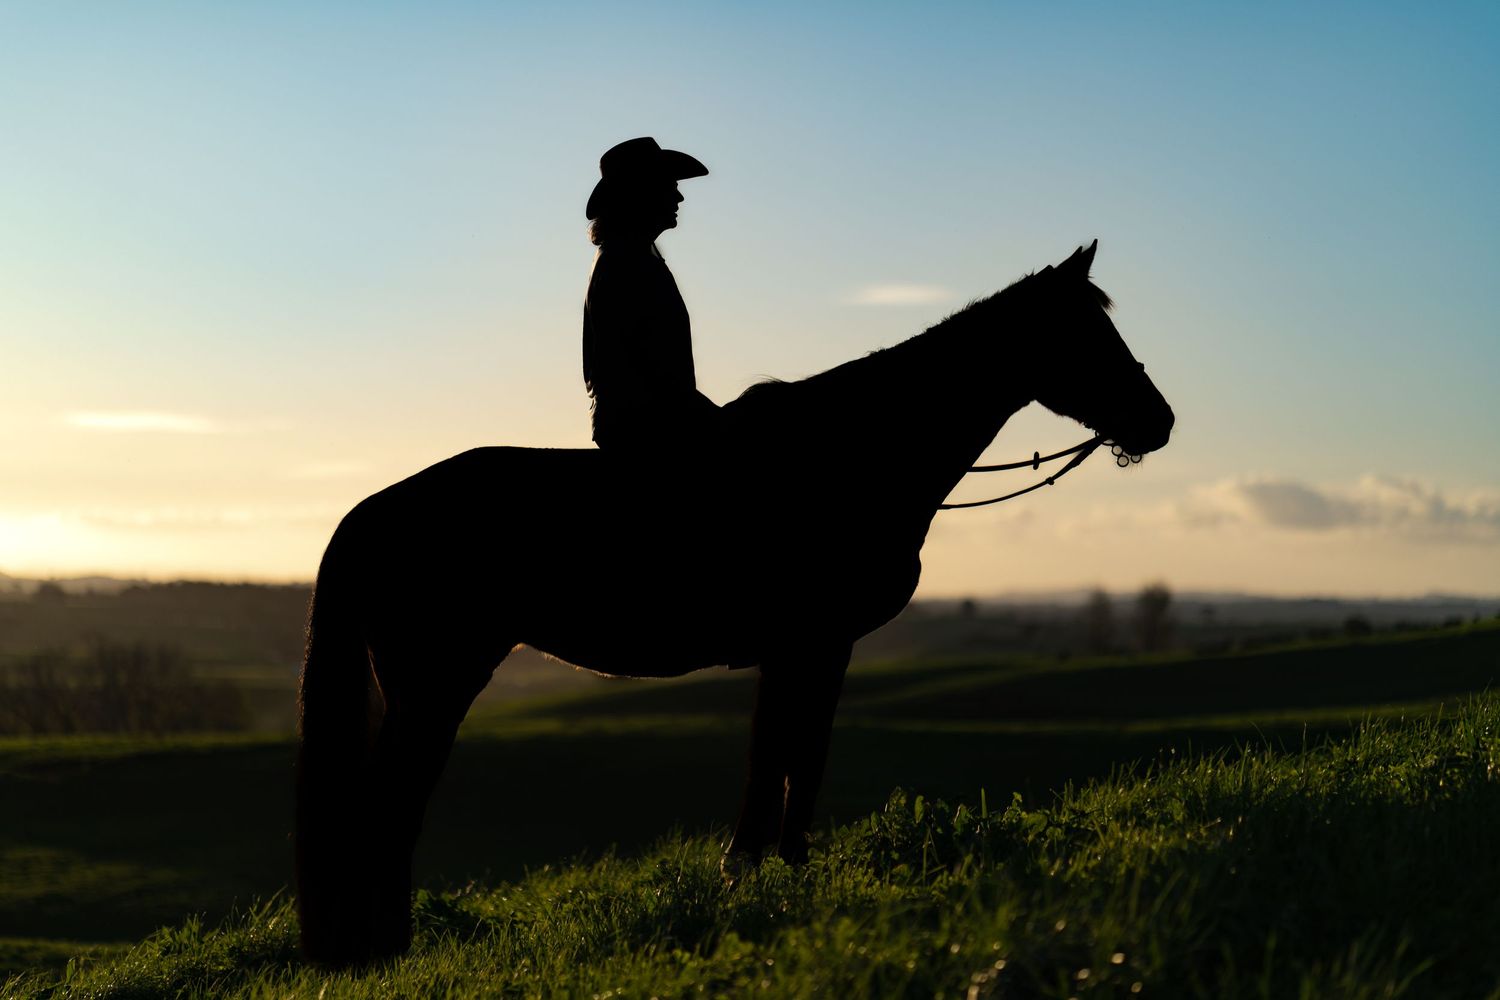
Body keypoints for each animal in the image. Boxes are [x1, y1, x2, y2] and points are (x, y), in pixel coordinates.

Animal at [294, 239, 1174, 964]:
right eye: (1090, 332)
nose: (1159, 422)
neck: (854, 453)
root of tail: (370, 512)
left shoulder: (798, 650)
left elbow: (776, 754)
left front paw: (757, 871)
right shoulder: (818, 642)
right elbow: (797, 755)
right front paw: (776, 872)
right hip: (437, 683)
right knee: (385, 806)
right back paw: (381, 949)